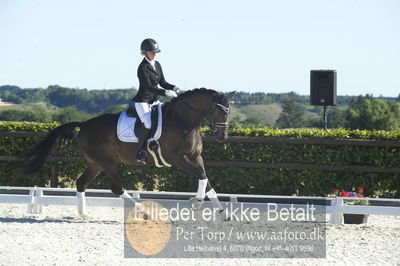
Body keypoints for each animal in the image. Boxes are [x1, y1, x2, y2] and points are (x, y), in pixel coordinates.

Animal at [21, 88, 234, 215]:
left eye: (229, 111)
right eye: (220, 111)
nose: (222, 138)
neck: (184, 122)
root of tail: (85, 124)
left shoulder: (195, 157)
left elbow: (205, 177)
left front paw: (221, 210)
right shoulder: (176, 158)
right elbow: (201, 175)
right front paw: (197, 202)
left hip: (95, 163)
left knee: (81, 183)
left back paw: (83, 213)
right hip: (107, 162)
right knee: (116, 188)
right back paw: (144, 211)